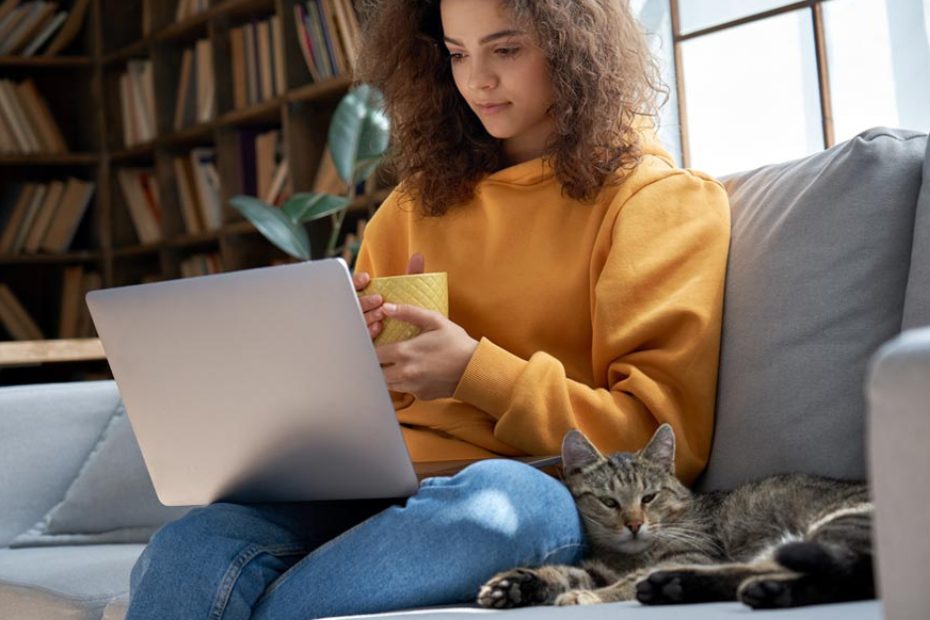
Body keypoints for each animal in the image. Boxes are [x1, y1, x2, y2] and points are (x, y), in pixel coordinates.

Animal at [474, 424, 872, 608]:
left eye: (648, 497)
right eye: (609, 502)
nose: (634, 524)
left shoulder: (695, 552)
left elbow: (624, 583)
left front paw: (585, 597)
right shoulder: (599, 567)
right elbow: (567, 573)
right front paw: (516, 584)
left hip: (837, 525)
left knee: (847, 573)